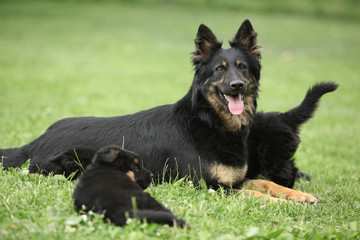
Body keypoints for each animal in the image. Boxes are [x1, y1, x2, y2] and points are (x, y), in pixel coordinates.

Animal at [0, 19, 324, 202]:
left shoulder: (232, 179)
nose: (237, 86)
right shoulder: (206, 186)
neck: (209, 121)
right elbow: (254, 192)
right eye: (220, 69)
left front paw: (298, 195)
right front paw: (281, 203)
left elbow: (265, 182)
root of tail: (35, 142)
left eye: (243, 68)